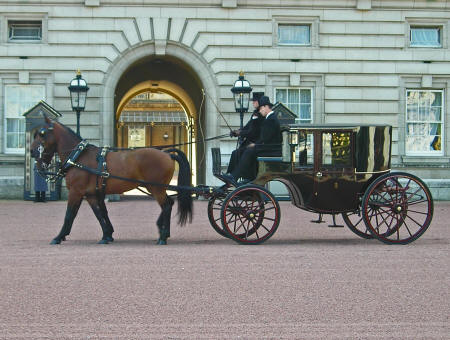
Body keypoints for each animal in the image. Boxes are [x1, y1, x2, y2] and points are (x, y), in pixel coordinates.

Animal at [30, 115, 192, 246]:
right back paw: (163, 231)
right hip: (156, 188)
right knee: (169, 204)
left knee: (166, 206)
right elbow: (100, 213)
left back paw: (163, 237)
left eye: (42, 133)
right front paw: (107, 234)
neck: (78, 157)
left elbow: (70, 214)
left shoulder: (76, 192)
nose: (32, 152)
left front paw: (59, 236)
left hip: (156, 188)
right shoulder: (91, 194)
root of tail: (167, 153)